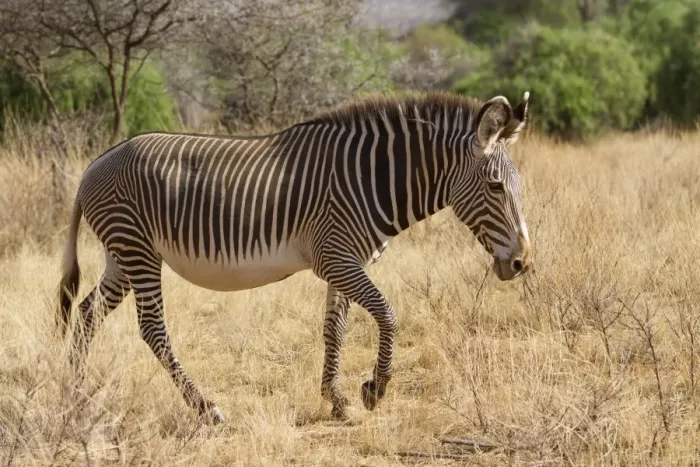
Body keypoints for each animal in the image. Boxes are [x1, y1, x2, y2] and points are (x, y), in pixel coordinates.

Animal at [57, 90, 532, 424]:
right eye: (495, 187)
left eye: (517, 185)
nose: (522, 263)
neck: (370, 180)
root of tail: (93, 165)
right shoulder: (336, 258)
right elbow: (388, 313)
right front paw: (375, 389)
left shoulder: (345, 262)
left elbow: (335, 329)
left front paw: (337, 401)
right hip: (137, 249)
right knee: (152, 328)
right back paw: (206, 408)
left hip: (123, 255)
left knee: (85, 314)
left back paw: (76, 398)